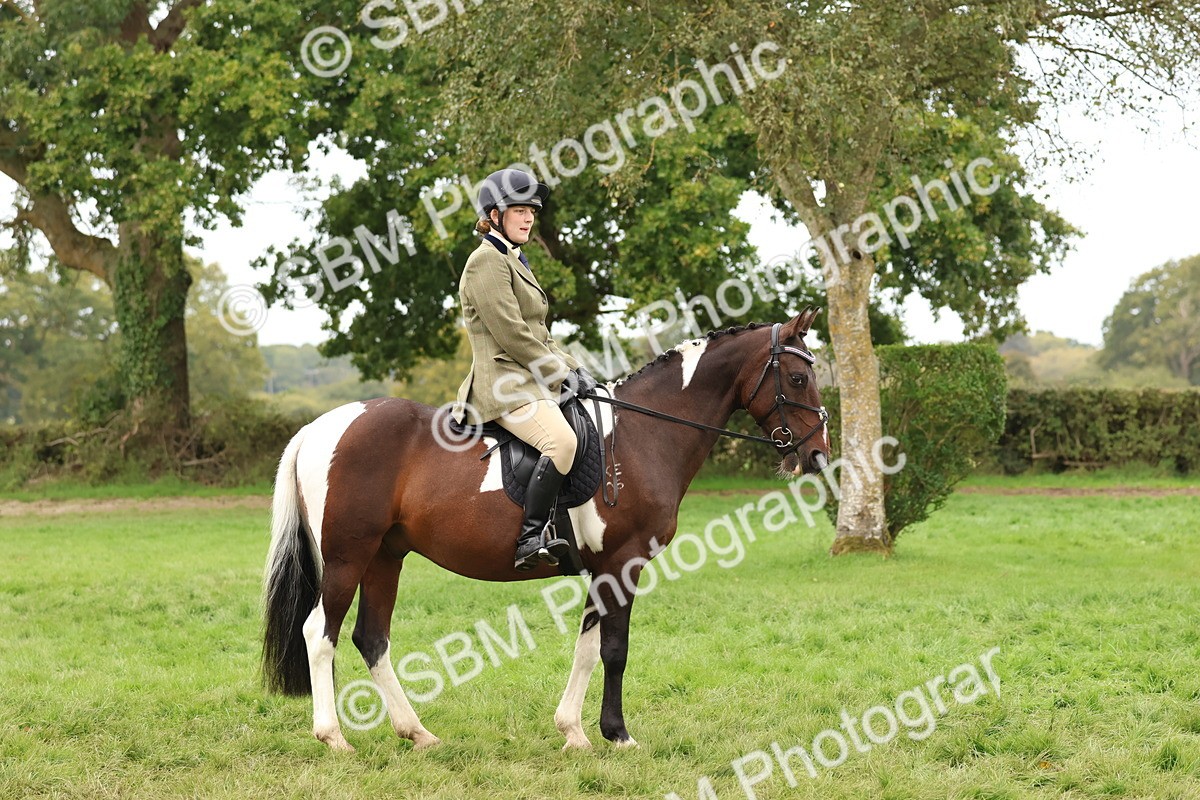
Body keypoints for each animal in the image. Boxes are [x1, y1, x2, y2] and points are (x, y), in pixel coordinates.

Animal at [261, 309, 831, 752]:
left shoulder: (604, 569)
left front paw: (573, 732)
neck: (643, 434)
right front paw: (617, 734)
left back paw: (417, 733)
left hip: (385, 557)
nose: (818, 457)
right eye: (798, 379)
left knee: (371, 637)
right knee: (321, 633)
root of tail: (318, 427)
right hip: (348, 557)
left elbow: (587, 647)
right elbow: (615, 649)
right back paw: (334, 737)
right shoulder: (623, 561)